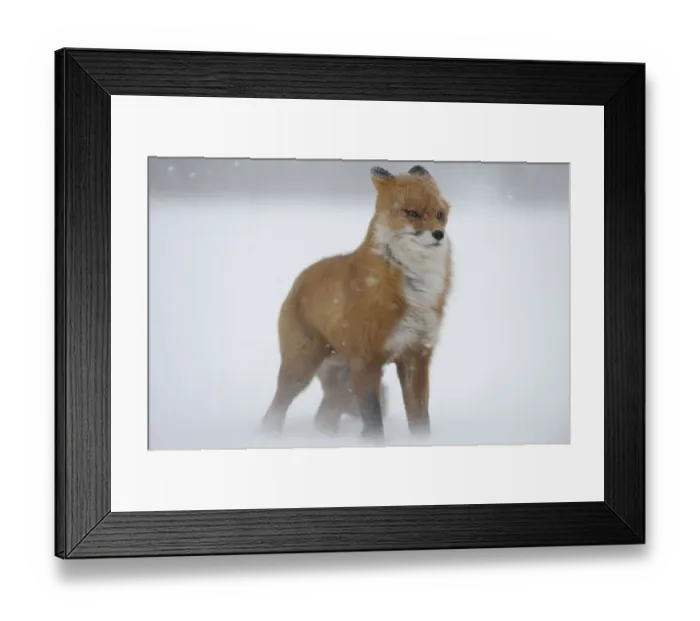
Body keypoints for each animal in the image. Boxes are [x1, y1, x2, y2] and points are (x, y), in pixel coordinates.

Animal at [261, 164, 453, 442]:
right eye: (412, 213)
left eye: (440, 214)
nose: (439, 234)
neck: (413, 288)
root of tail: (299, 280)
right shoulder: (367, 359)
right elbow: (373, 420)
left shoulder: (415, 355)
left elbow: (420, 418)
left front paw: (423, 443)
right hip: (301, 368)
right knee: (276, 410)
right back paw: (267, 436)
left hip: (344, 379)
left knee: (324, 417)